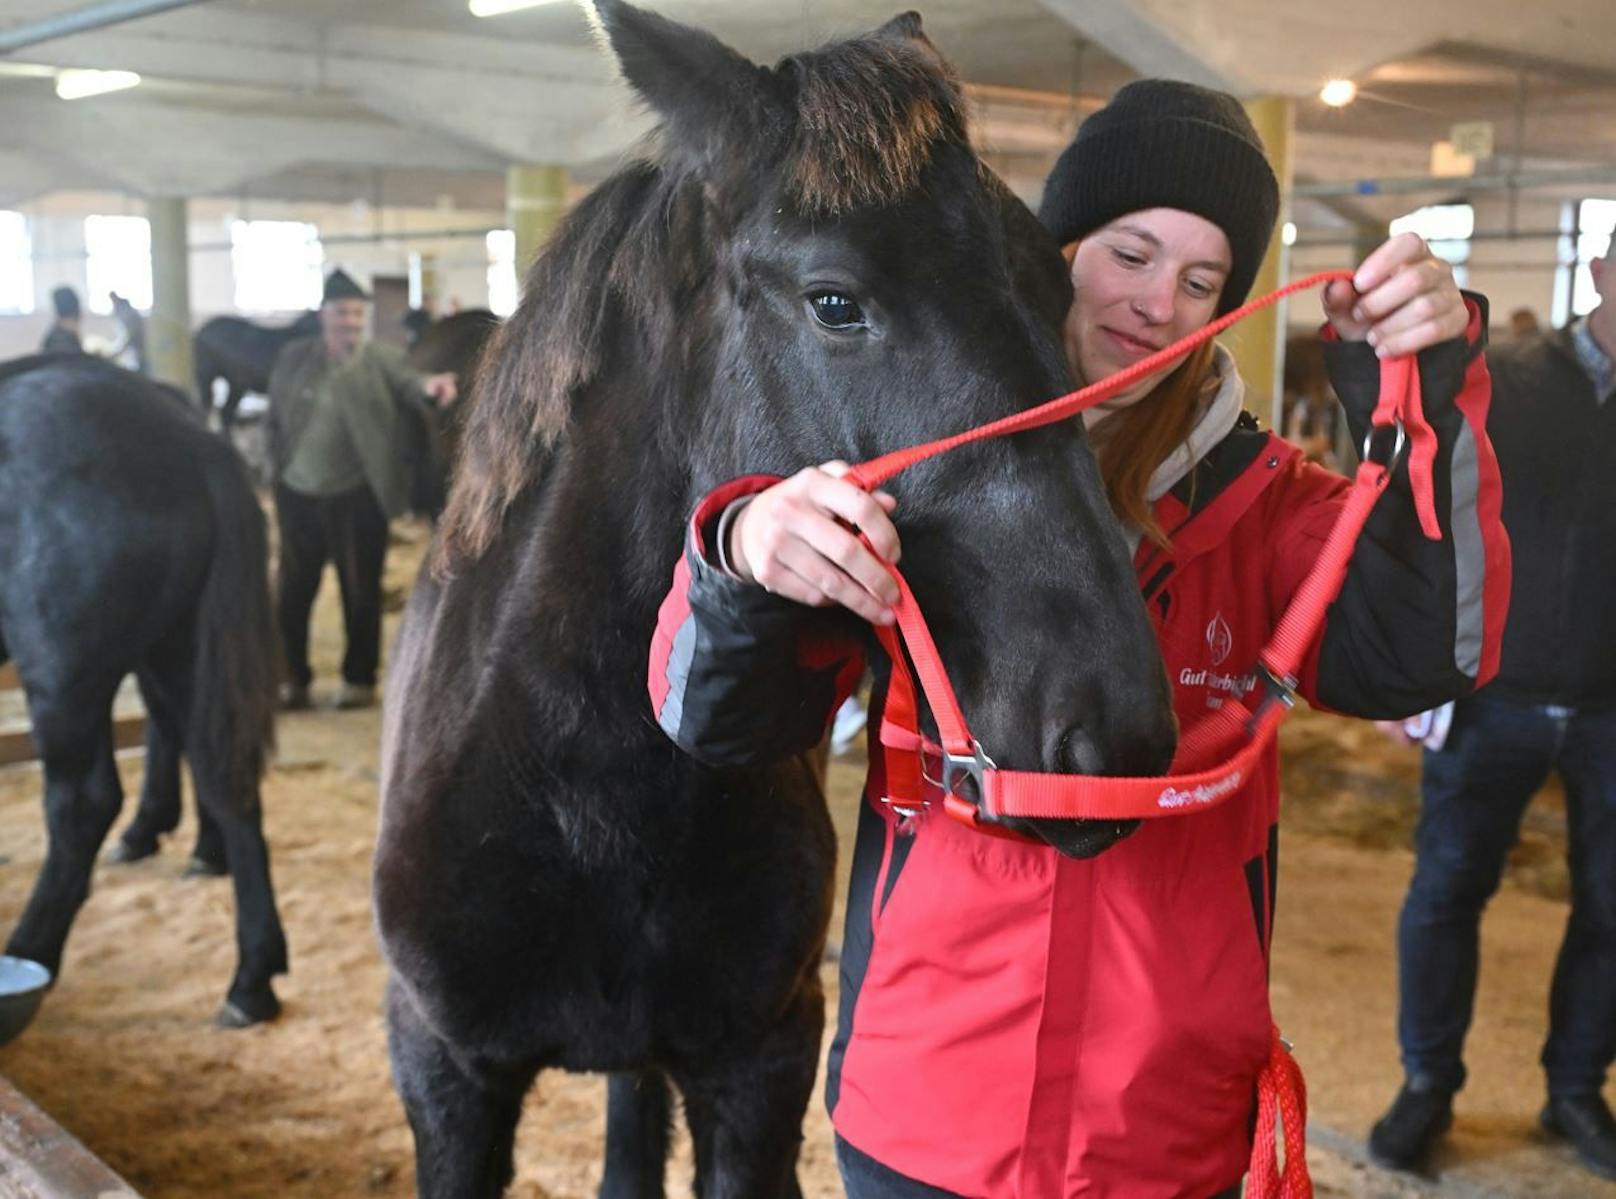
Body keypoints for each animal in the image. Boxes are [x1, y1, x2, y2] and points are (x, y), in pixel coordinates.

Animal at [0, 353, 287, 1021]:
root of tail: (187, 442)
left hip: (64, 677)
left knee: (83, 805)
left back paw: (31, 950)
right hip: (174, 648)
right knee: (223, 774)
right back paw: (251, 979)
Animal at [371, 4, 1169, 1195]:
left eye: (1055, 290)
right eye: (834, 301)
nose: (1112, 731)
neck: (587, 774)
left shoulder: (758, 1060)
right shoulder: (444, 1069)